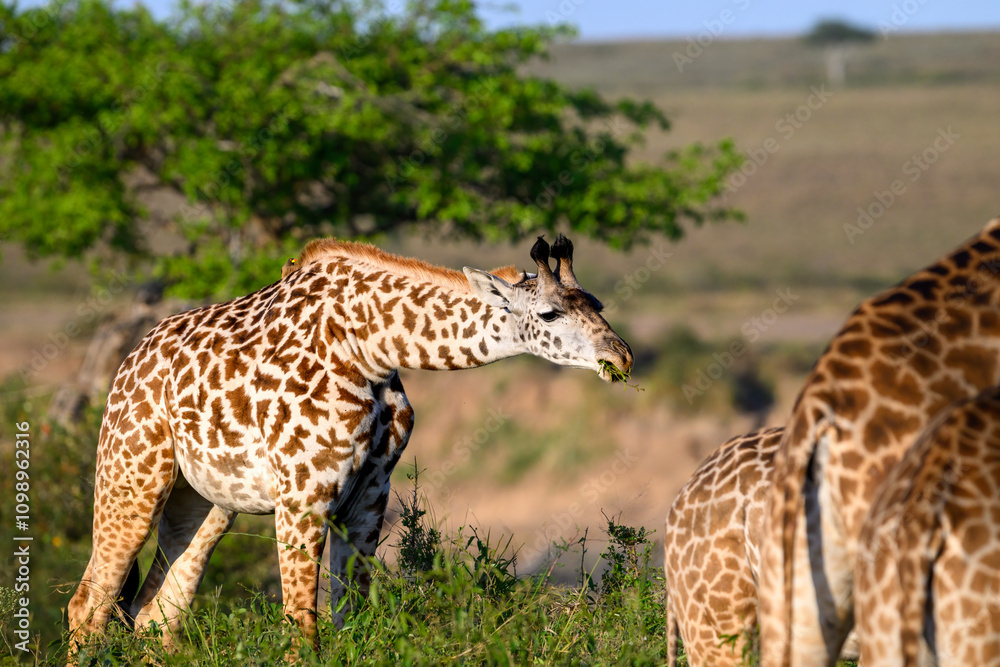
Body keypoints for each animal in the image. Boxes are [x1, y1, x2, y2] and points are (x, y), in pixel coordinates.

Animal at [67, 234, 633, 655]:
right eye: (550, 315)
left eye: (598, 304)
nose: (621, 357)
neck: (371, 347)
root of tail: (129, 362)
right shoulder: (303, 495)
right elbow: (302, 632)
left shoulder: (367, 497)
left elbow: (348, 622)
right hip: (131, 476)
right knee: (88, 604)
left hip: (206, 501)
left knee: (155, 613)